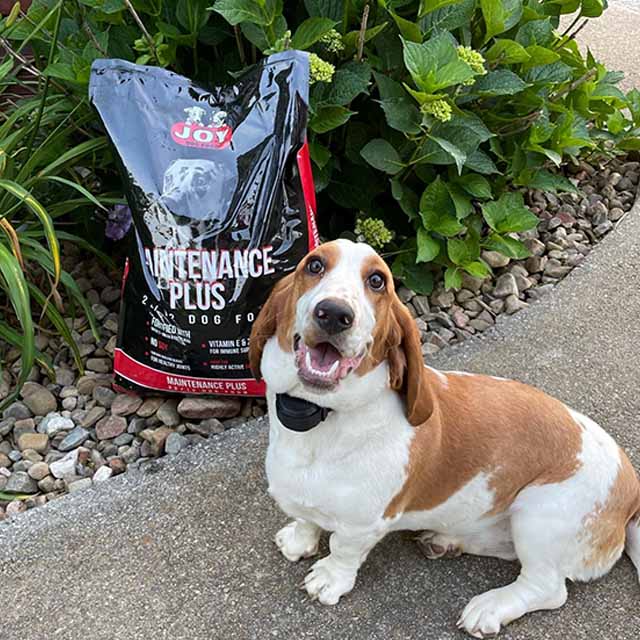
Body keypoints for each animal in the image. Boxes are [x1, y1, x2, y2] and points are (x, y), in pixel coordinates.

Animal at [248, 239, 636, 636]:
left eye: (377, 281)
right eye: (314, 265)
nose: (334, 313)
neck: (319, 418)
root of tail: (630, 493)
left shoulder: (363, 525)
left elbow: (343, 549)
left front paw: (328, 579)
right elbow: (307, 520)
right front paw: (299, 541)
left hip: (538, 514)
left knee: (547, 588)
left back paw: (489, 607)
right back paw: (445, 541)